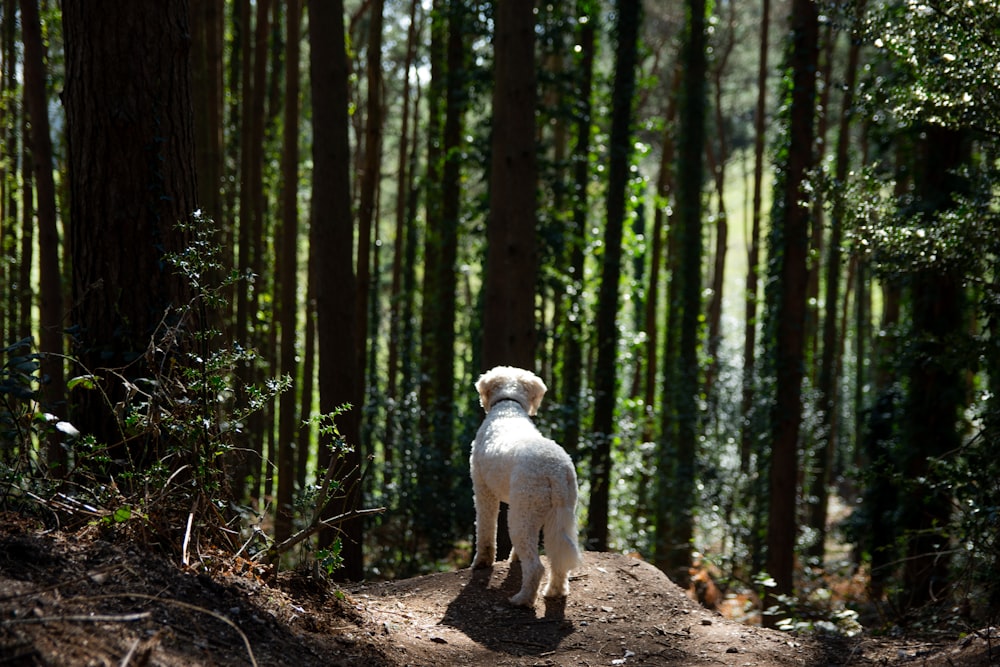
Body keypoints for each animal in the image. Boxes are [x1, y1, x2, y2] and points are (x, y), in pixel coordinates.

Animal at [470, 368, 584, 608]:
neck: (508, 406)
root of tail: (555, 469)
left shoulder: (483, 490)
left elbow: (485, 529)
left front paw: (482, 561)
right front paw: (514, 558)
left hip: (522, 514)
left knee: (536, 566)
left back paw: (522, 600)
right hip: (556, 515)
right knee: (557, 559)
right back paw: (555, 591)